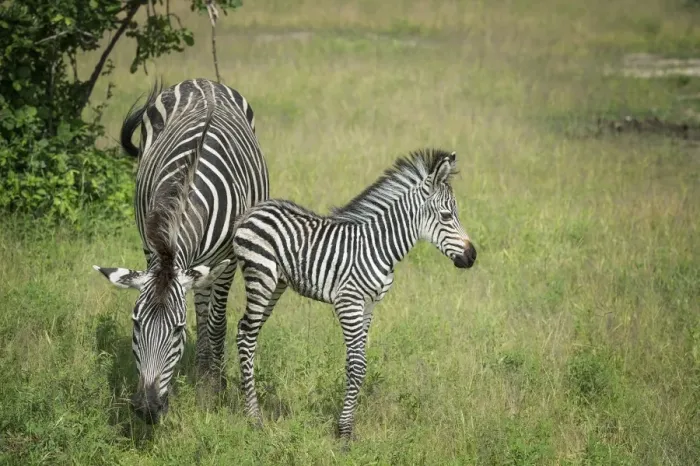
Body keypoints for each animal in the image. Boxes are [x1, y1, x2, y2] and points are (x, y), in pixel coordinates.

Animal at [92, 78, 269, 424]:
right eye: (135, 324)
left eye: (176, 331)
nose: (147, 409)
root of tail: (202, 81)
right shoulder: (153, 249)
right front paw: (182, 388)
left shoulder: (226, 261)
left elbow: (216, 323)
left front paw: (213, 391)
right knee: (199, 305)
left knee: (209, 313)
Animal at [231, 148, 477, 440]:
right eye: (447, 216)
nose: (472, 256)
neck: (379, 246)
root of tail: (253, 211)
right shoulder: (348, 302)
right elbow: (357, 365)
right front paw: (344, 433)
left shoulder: (369, 306)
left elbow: (356, 363)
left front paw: (346, 427)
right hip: (260, 276)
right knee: (246, 335)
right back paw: (254, 419)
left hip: (275, 284)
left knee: (248, 332)